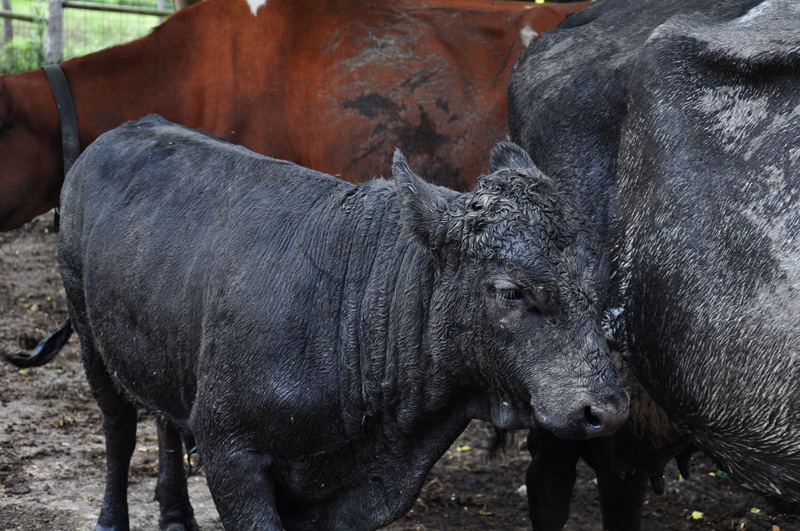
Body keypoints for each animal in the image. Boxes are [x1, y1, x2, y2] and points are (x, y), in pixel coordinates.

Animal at [59, 114, 628, 530]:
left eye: (601, 285)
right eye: (511, 291)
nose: (606, 409)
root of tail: (124, 129)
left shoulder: (365, 491)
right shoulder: (229, 451)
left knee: (163, 418)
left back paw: (177, 514)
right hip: (87, 335)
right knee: (119, 427)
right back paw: (112, 519)